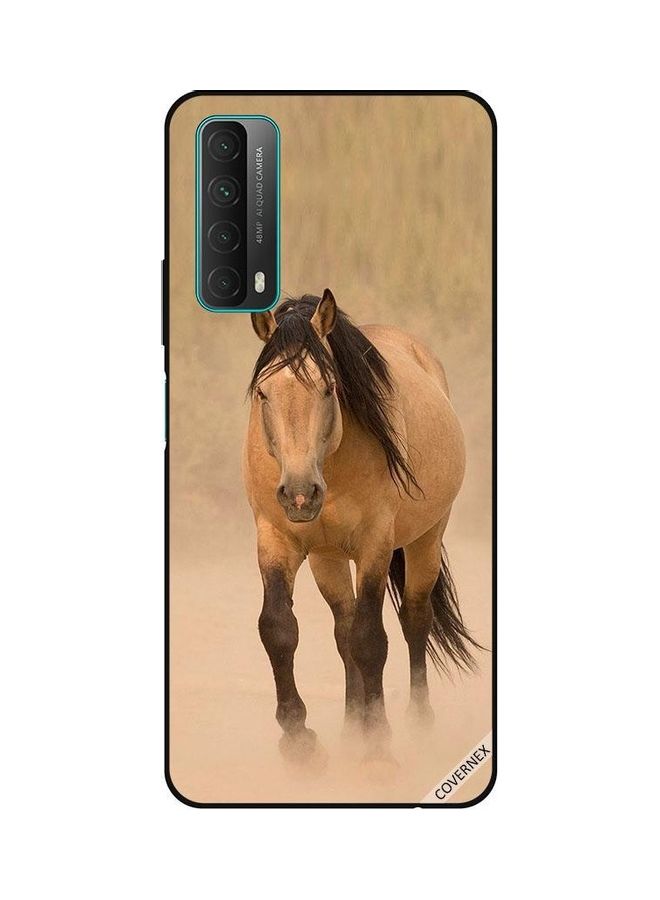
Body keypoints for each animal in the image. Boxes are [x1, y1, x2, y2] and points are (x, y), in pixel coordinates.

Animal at [243, 290, 480, 767]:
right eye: (263, 392)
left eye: (329, 387)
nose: (300, 494)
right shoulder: (276, 540)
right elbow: (279, 629)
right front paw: (299, 739)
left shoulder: (375, 546)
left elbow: (372, 639)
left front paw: (378, 744)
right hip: (327, 558)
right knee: (343, 629)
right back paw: (351, 727)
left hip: (426, 538)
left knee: (414, 620)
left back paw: (417, 724)